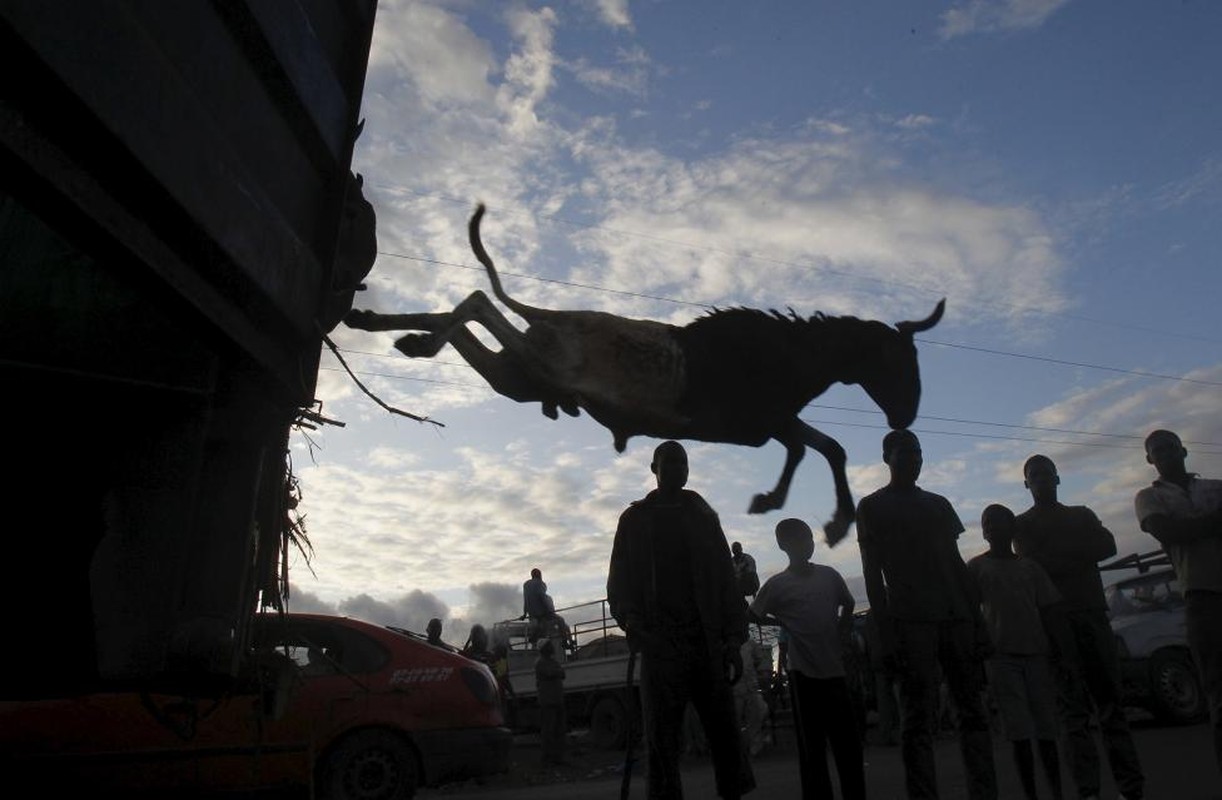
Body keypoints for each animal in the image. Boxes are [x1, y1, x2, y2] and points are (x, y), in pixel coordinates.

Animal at [344, 203, 943, 547]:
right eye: (901, 361)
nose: (906, 415)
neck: (796, 352)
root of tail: (550, 316)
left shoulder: (772, 421)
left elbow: (827, 447)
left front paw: (822, 516)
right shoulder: (761, 419)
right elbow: (812, 448)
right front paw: (805, 509)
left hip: (518, 378)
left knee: (467, 315)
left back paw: (387, 327)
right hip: (545, 363)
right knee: (475, 301)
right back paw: (418, 339)